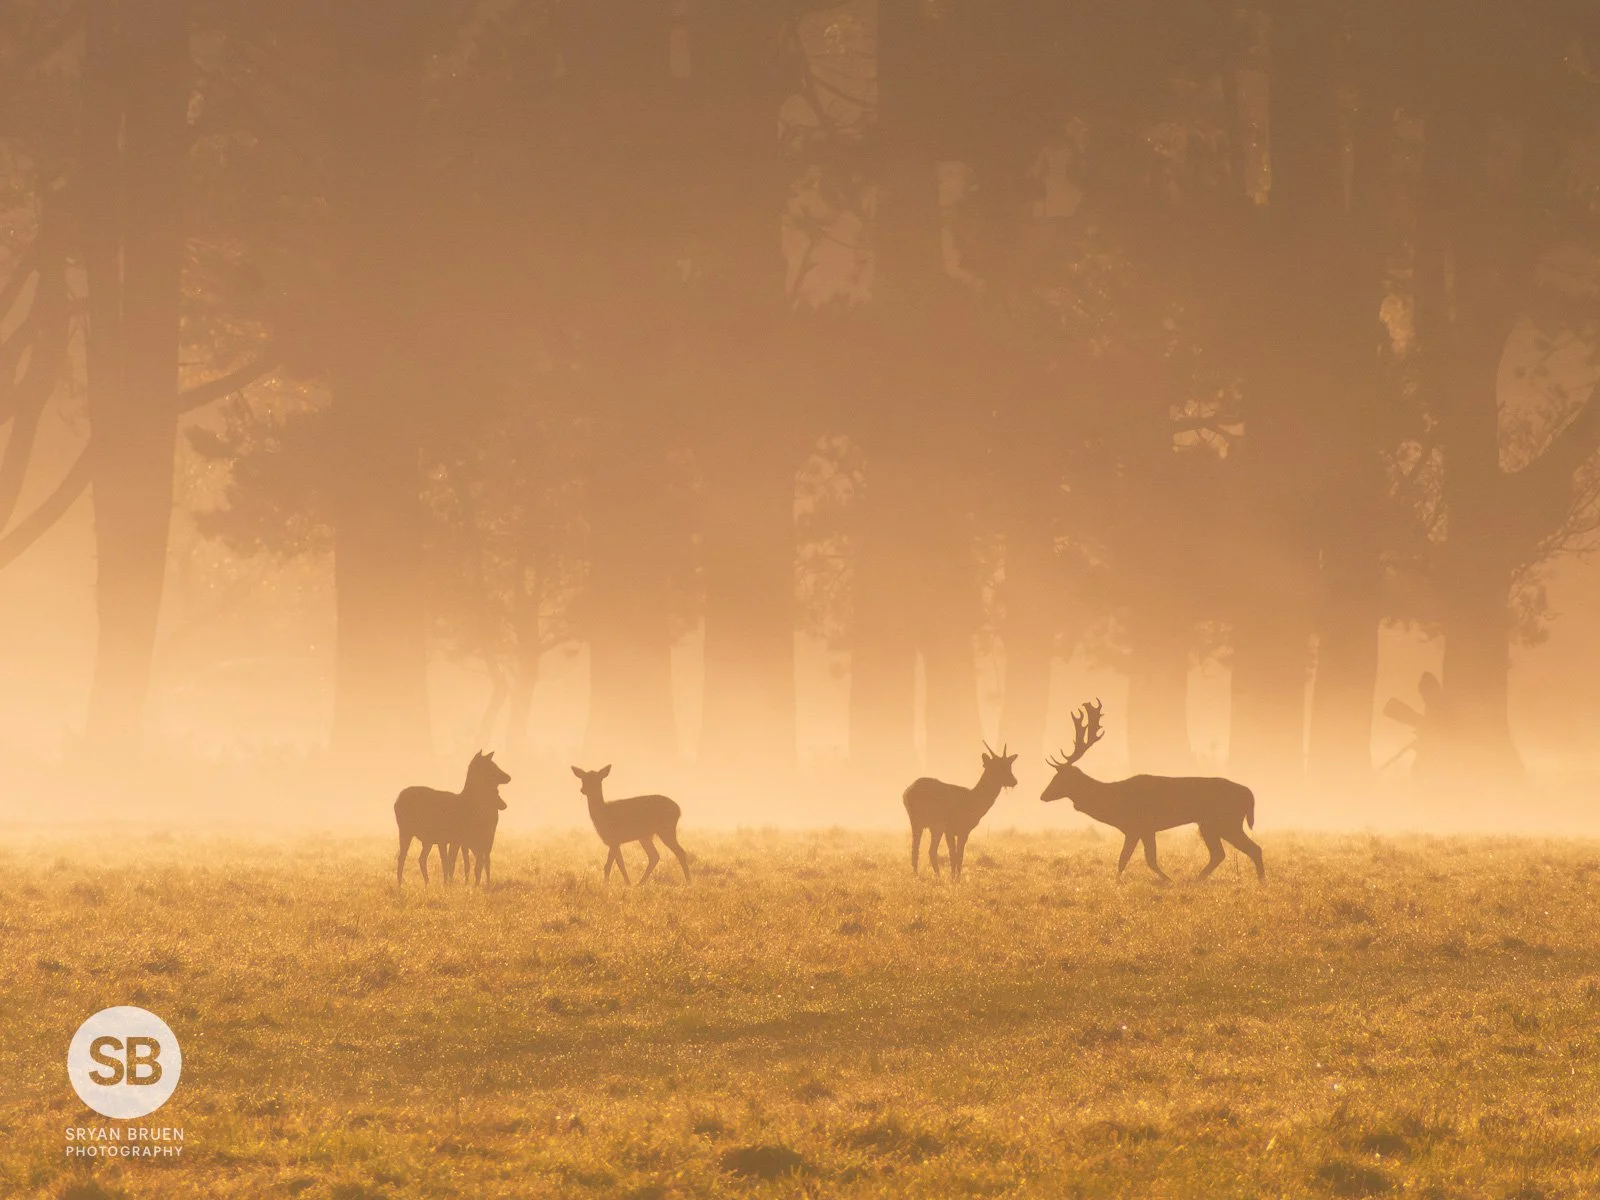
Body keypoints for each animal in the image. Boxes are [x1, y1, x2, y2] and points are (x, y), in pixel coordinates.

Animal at [394, 750, 510, 887]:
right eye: (490, 766)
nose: (508, 777)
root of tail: (396, 801)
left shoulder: (456, 839)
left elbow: (451, 862)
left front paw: (448, 884)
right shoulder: (445, 838)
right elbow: (448, 862)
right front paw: (448, 884)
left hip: (427, 839)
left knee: (421, 858)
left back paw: (427, 883)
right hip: (405, 830)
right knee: (402, 857)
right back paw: (400, 885)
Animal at [902, 743, 1019, 880]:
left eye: (1009, 765)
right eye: (998, 767)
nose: (1014, 781)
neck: (975, 802)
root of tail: (907, 793)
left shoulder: (951, 831)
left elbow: (953, 855)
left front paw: (953, 877)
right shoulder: (962, 829)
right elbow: (958, 855)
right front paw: (956, 879)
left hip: (916, 822)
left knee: (915, 849)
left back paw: (916, 876)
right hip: (936, 823)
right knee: (931, 850)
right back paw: (938, 877)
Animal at [1041, 700, 1264, 883]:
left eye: (1060, 778)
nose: (1043, 795)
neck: (1114, 802)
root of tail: (1249, 794)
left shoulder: (1139, 826)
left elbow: (1134, 859)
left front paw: (1158, 880)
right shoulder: (1140, 829)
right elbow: (1136, 859)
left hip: (1225, 822)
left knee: (1252, 849)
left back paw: (1259, 882)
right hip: (1210, 824)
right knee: (1220, 853)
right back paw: (1200, 879)